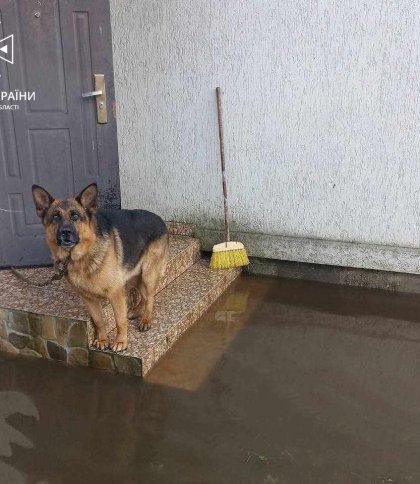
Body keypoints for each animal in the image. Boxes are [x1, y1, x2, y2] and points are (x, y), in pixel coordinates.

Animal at [32, 184, 169, 352]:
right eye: (56, 217)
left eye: (75, 216)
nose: (65, 232)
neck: (80, 257)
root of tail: (160, 219)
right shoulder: (89, 299)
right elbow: (99, 321)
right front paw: (103, 340)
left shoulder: (115, 293)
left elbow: (119, 320)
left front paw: (121, 342)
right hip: (132, 274)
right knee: (143, 295)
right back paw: (137, 311)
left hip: (147, 274)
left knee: (149, 296)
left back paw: (146, 319)